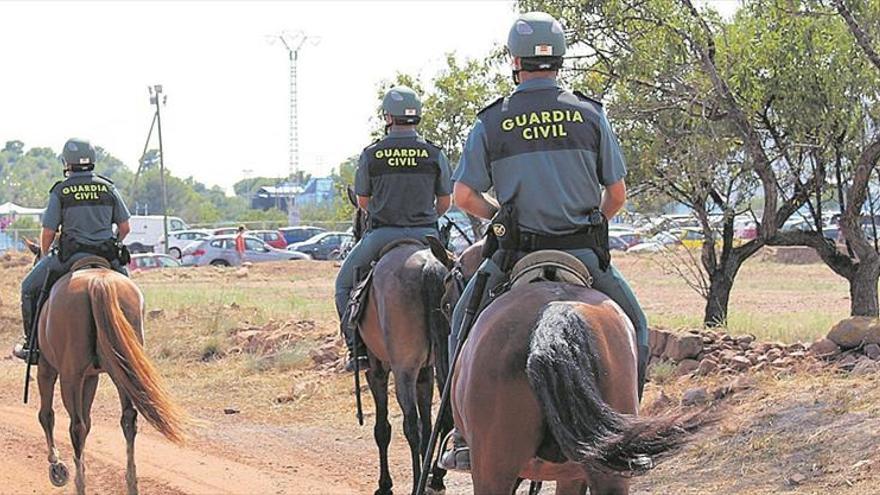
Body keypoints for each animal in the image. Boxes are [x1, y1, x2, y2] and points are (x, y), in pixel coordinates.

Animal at [22, 239, 185, 492]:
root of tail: (99, 282)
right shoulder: (91, 377)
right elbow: (88, 421)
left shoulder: (48, 369)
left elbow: (47, 415)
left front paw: (56, 465)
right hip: (122, 371)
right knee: (128, 419)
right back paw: (131, 482)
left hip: (70, 377)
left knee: (76, 426)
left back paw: (80, 483)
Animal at [346, 188, 454, 494]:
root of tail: (429, 265)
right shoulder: (426, 371)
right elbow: (430, 425)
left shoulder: (377, 370)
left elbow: (383, 428)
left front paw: (385, 484)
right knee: (440, 420)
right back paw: (434, 478)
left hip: (402, 369)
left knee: (411, 425)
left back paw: (419, 481)